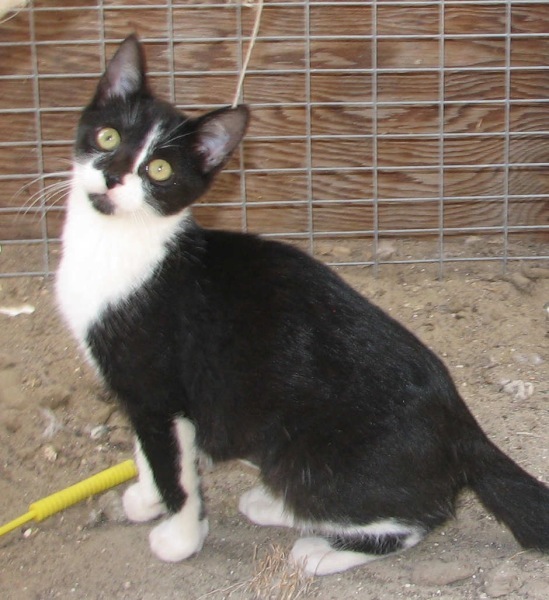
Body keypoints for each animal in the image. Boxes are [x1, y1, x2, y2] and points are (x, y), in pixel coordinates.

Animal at [56, 34, 548, 576]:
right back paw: (272, 505)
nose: (113, 177)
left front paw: (180, 537)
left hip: (313, 459)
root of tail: (463, 426)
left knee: (419, 517)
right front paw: (147, 499)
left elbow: (176, 473)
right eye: (107, 137)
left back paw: (319, 550)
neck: (121, 248)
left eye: (159, 170)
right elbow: (149, 455)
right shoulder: (136, 395)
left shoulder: (158, 388)